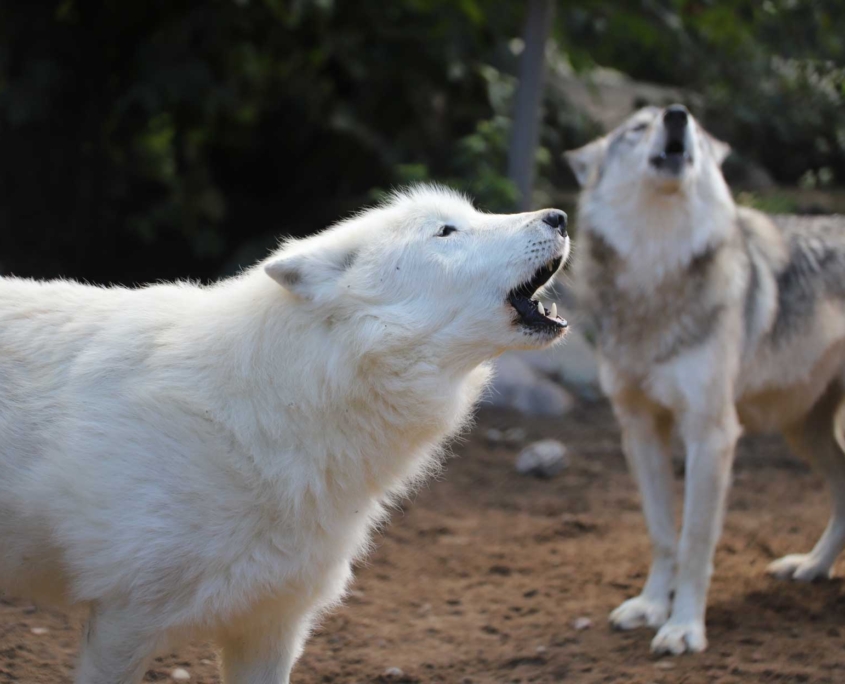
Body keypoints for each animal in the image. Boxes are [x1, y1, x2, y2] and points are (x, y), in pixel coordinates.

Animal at [566, 105, 845, 655]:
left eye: (690, 122)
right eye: (637, 127)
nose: (677, 116)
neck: (657, 267)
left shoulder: (711, 433)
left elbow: (695, 540)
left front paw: (683, 627)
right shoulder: (639, 430)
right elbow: (661, 532)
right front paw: (652, 606)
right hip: (803, 432)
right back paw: (811, 567)